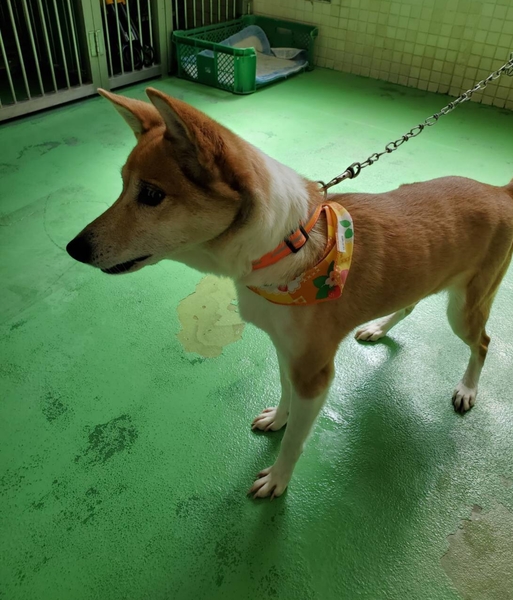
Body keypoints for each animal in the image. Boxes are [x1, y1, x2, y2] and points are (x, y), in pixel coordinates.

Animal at [67, 87, 513, 499]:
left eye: (152, 195)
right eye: (122, 185)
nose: (73, 249)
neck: (284, 246)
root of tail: (499, 191)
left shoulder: (315, 374)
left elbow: (297, 438)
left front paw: (278, 478)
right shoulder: (285, 351)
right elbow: (283, 392)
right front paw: (278, 420)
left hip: (465, 308)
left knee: (483, 343)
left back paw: (467, 389)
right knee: (410, 304)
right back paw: (379, 328)